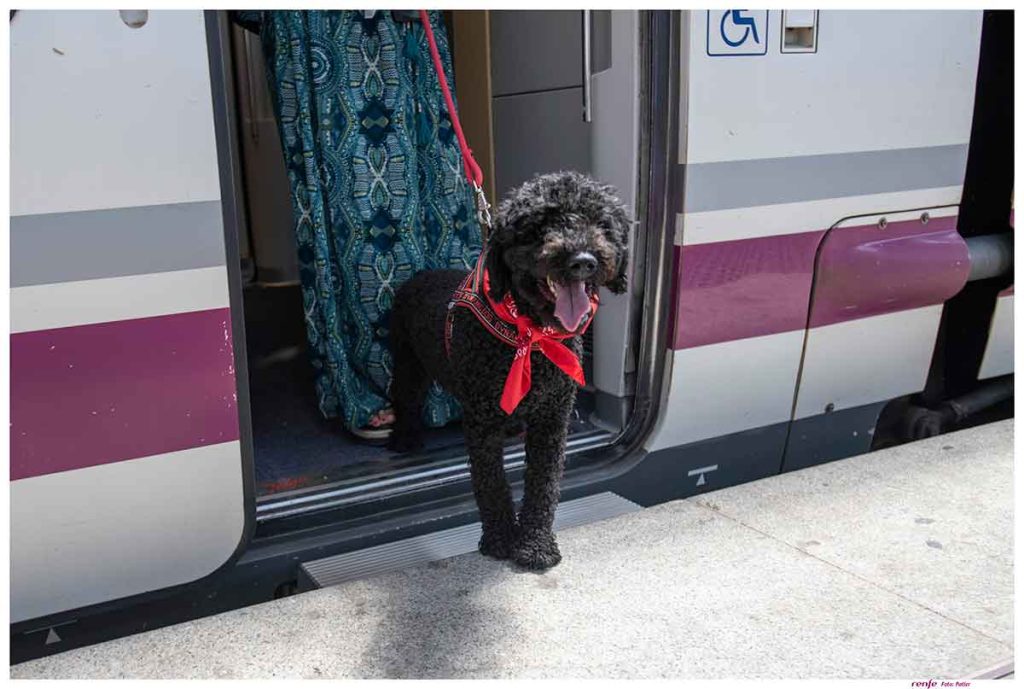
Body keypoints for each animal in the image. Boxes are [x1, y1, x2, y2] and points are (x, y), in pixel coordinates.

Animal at [387, 173, 626, 569]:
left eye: (601, 223)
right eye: (540, 225)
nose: (583, 260)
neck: (528, 334)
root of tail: (418, 276)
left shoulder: (552, 419)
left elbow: (544, 485)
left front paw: (535, 544)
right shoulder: (482, 423)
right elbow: (492, 485)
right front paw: (500, 539)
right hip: (408, 362)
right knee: (405, 399)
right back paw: (405, 439)